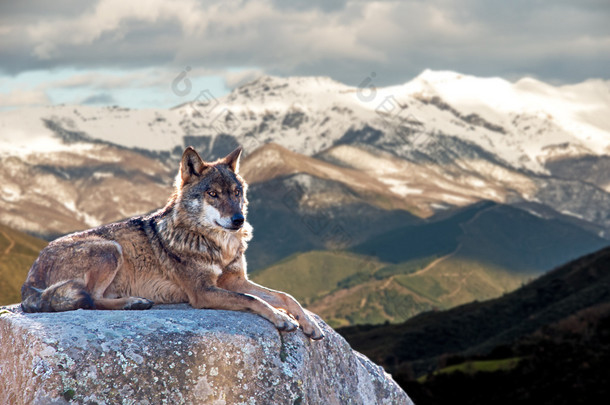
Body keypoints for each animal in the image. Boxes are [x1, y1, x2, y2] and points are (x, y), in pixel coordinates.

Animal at [20, 145, 324, 338]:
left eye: (236, 192)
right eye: (213, 194)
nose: (238, 220)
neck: (217, 245)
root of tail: (29, 279)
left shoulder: (235, 280)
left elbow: (284, 296)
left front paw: (309, 324)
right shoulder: (203, 292)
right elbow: (254, 300)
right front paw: (282, 318)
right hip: (110, 249)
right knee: (91, 299)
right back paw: (134, 303)